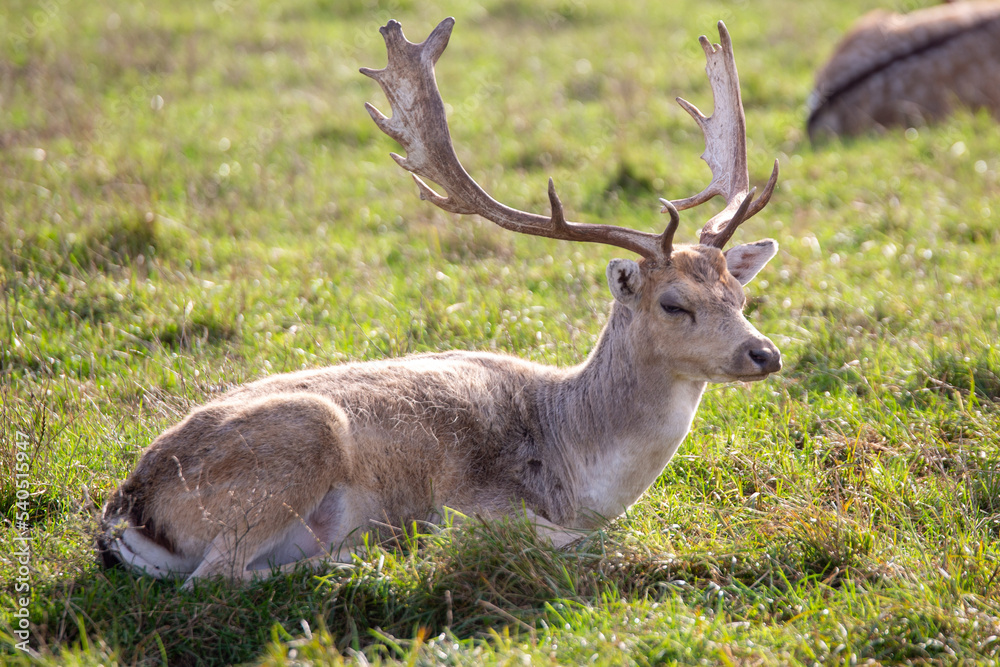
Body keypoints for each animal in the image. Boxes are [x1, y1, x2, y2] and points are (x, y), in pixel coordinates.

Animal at [95, 18, 780, 588]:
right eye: (673, 304)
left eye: (741, 293)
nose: (765, 354)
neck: (575, 468)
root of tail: (127, 510)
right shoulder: (483, 503)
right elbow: (576, 543)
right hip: (300, 441)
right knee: (214, 576)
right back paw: (363, 555)